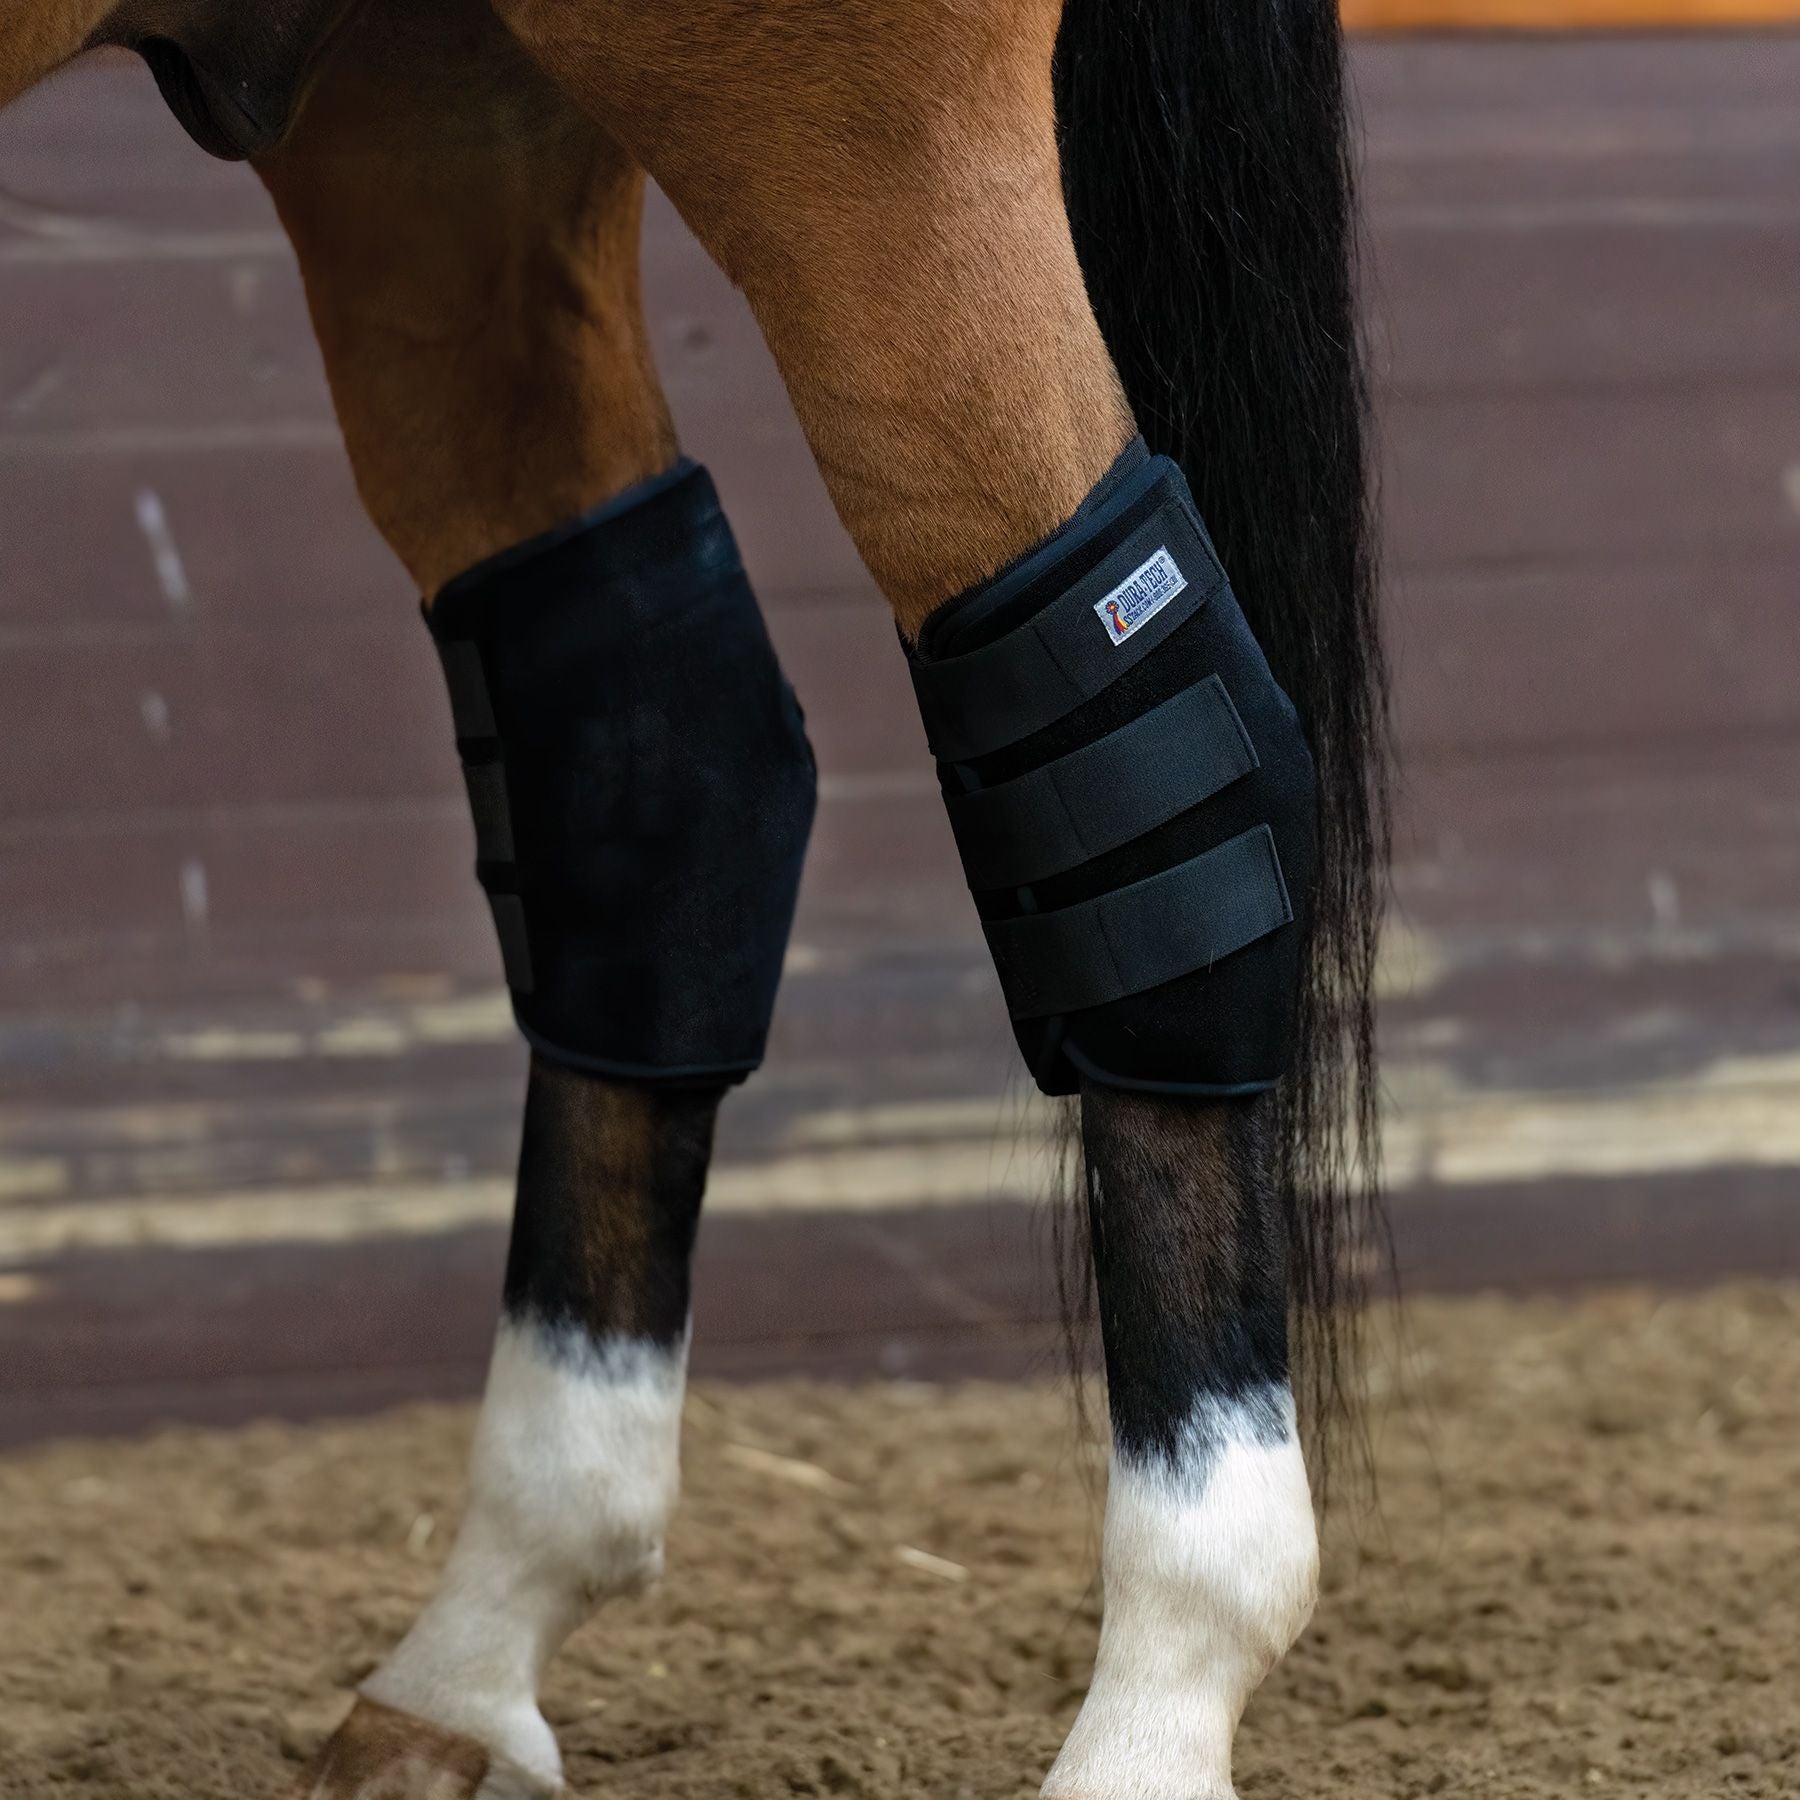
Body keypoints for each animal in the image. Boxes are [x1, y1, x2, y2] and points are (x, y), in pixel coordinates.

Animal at [1, 0, 1389, 1794]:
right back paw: (472, 1655)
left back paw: (1157, 1703)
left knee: (1147, 738)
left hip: (841, 124)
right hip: (427, 108)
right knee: (657, 743)